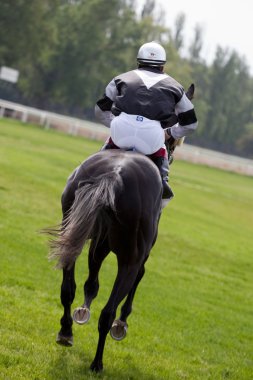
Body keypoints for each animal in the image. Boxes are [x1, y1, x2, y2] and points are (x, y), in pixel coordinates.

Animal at [47, 148, 162, 372]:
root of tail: (114, 175)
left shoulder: (99, 240)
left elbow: (92, 277)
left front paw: (84, 308)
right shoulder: (140, 254)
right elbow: (139, 276)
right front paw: (121, 323)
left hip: (71, 229)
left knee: (67, 290)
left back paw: (66, 332)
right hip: (130, 257)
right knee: (109, 311)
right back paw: (97, 362)